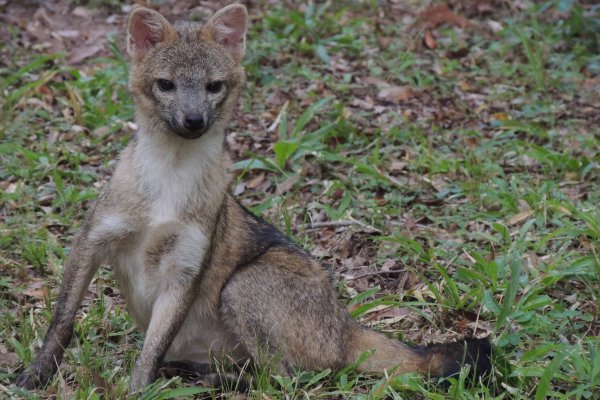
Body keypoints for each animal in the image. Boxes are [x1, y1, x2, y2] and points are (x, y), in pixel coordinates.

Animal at [15, 3, 492, 396]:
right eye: (166, 85)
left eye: (214, 86)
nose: (194, 120)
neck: (169, 181)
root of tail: (345, 325)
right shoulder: (93, 241)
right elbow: (61, 323)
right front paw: (37, 375)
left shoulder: (184, 273)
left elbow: (148, 355)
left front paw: (136, 392)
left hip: (242, 286)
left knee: (281, 379)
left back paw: (208, 379)